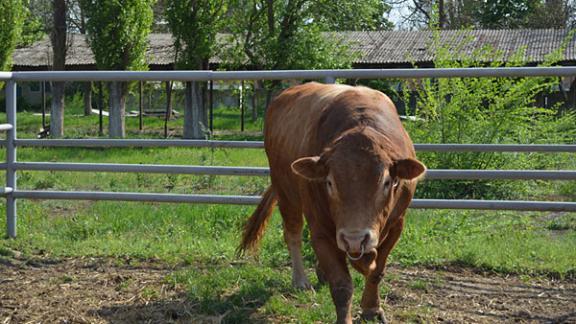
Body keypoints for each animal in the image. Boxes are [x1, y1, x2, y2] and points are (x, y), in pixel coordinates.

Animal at [237, 82, 424, 322]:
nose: (355, 238)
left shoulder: (396, 224)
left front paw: (372, 309)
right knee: (293, 234)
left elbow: (377, 270)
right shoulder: (321, 230)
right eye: (329, 182)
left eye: (387, 182)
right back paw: (301, 280)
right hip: (285, 192)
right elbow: (342, 284)